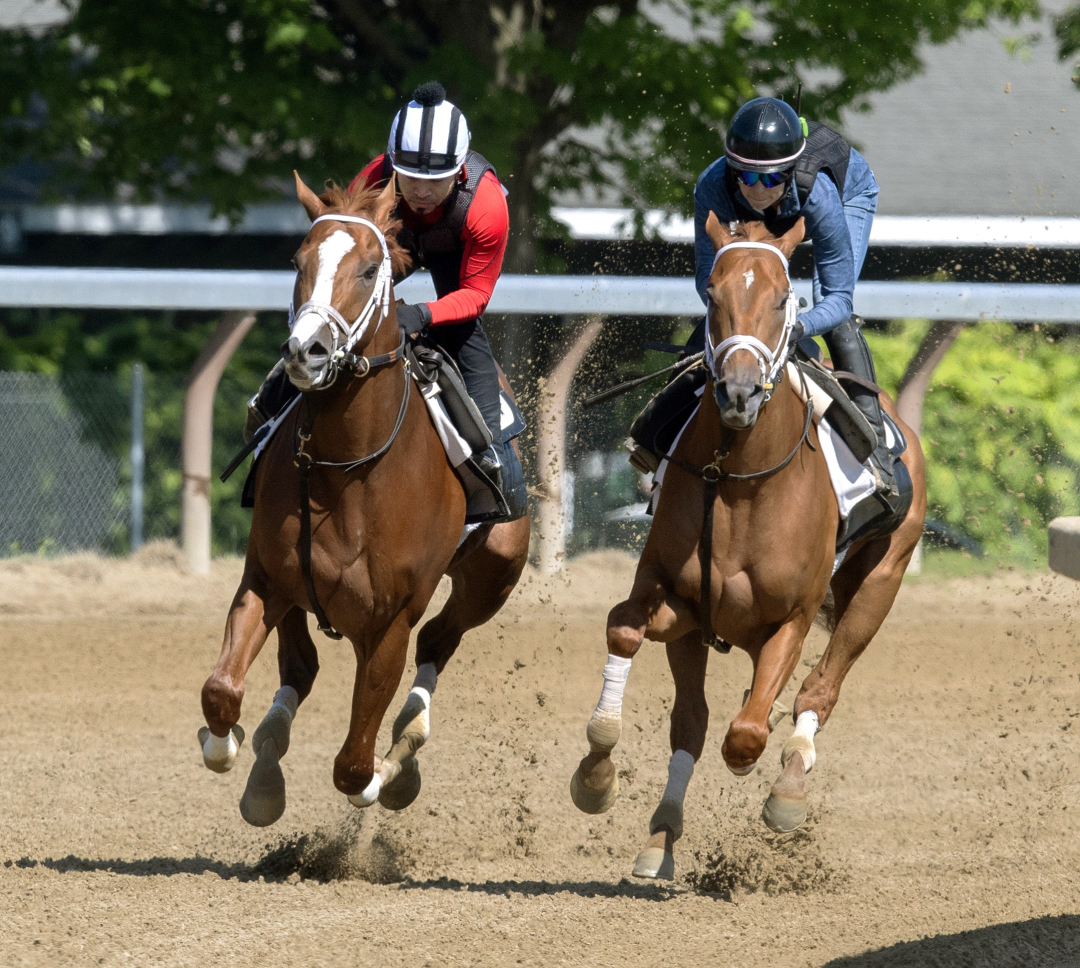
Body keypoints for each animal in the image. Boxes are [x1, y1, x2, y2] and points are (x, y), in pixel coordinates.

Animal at [199, 176, 531, 825]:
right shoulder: (267, 579)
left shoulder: (389, 623)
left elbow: (353, 765)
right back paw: (266, 770)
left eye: (372, 268)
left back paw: (408, 739)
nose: (306, 351)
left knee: (440, 638)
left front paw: (389, 774)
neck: (346, 471)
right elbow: (221, 691)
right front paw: (226, 747)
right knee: (300, 669)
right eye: (298, 261)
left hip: (494, 572)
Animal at [570, 213, 924, 877]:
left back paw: (788, 789)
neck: (738, 481)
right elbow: (628, 634)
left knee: (819, 687)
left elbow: (748, 732)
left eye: (785, 297)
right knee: (693, 721)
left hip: (881, 581)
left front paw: (767, 769)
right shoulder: (679, 602)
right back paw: (660, 837)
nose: (738, 392)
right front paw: (597, 777)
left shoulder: (791, 619)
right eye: (712, 294)